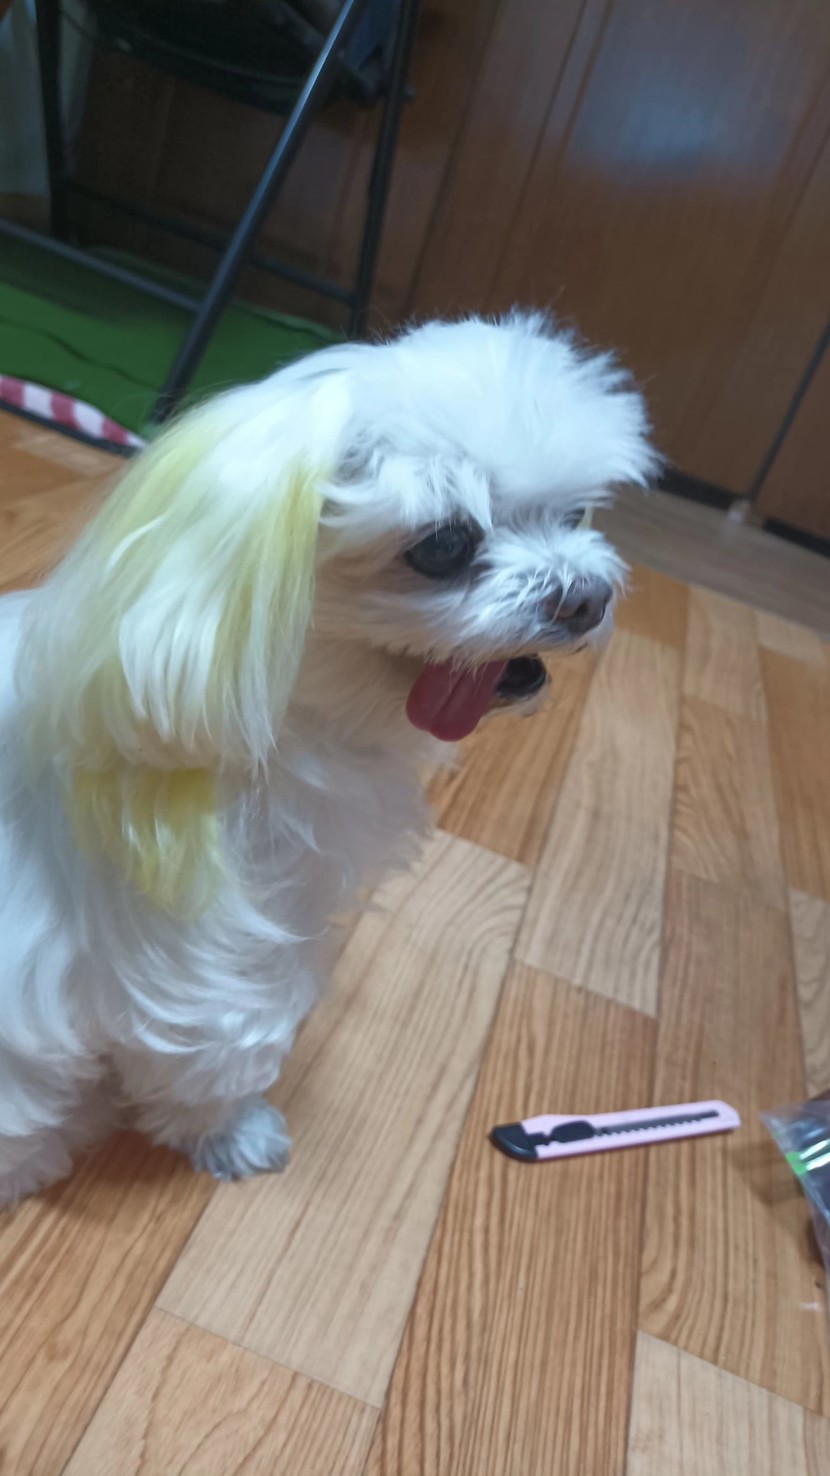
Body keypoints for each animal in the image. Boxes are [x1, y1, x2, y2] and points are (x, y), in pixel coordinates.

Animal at [0, 313, 656, 1205]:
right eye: (444, 544)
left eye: (579, 510)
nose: (586, 597)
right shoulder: (195, 953)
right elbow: (222, 1045)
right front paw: (229, 1130)